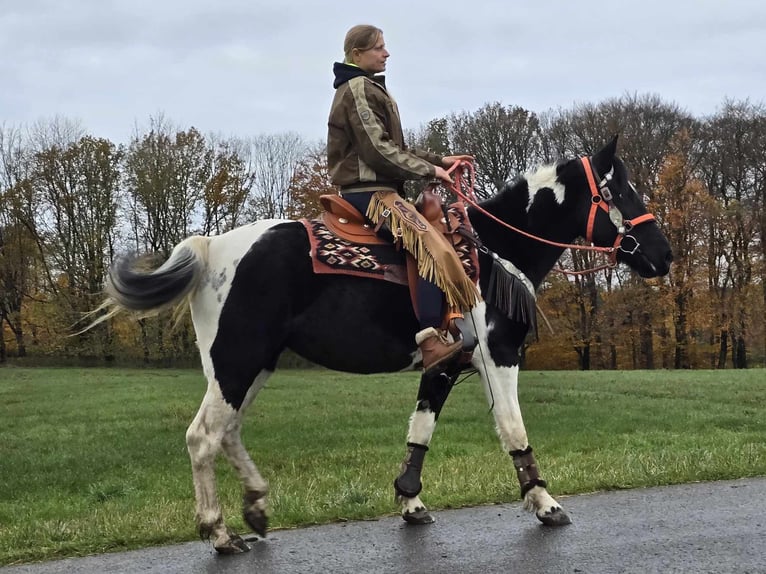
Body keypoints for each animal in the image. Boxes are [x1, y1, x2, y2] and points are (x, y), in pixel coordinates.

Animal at [94, 137, 672, 556]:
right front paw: (545, 503)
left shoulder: (445, 363)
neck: (490, 252)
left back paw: (255, 508)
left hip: (252, 366)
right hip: (238, 363)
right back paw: (218, 532)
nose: (663, 255)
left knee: (228, 432)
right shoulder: (498, 355)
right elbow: (512, 427)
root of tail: (212, 247)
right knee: (203, 437)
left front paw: (411, 501)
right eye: (621, 192)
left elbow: (421, 429)